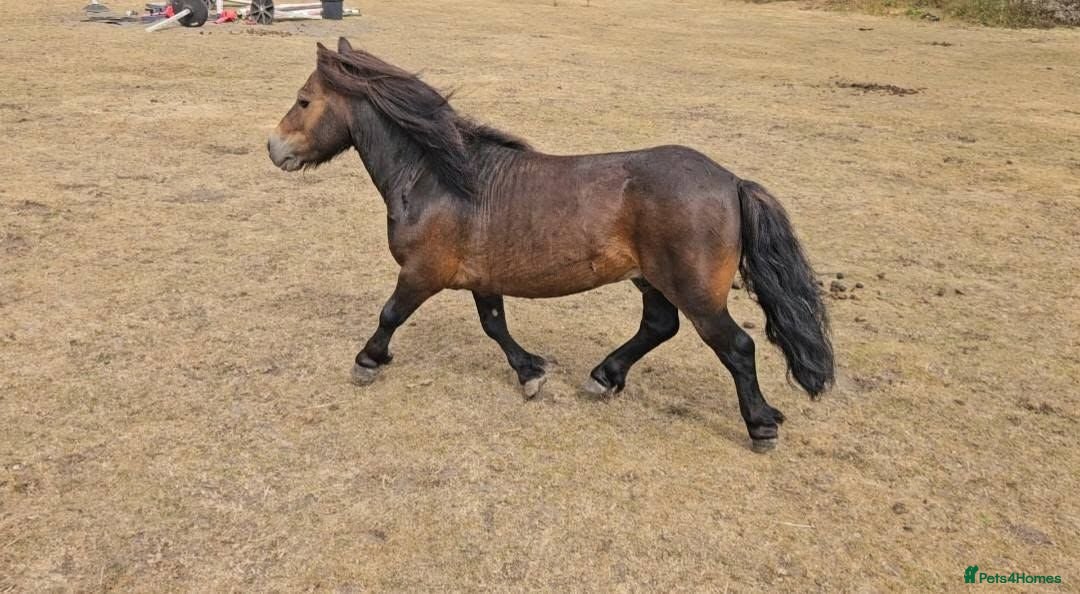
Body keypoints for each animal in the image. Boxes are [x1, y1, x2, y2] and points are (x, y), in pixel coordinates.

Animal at [268, 38, 834, 452]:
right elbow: (495, 326)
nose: (274, 149)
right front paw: (530, 373)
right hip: (652, 280)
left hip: (695, 292)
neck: (436, 179)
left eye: (303, 101)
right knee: (659, 326)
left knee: (736, 346)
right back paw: (605, 376)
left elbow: (390, 314)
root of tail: (731, 181)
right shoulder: (482, 278)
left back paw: (760, 425)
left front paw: (367, 361)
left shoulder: (422, 274)